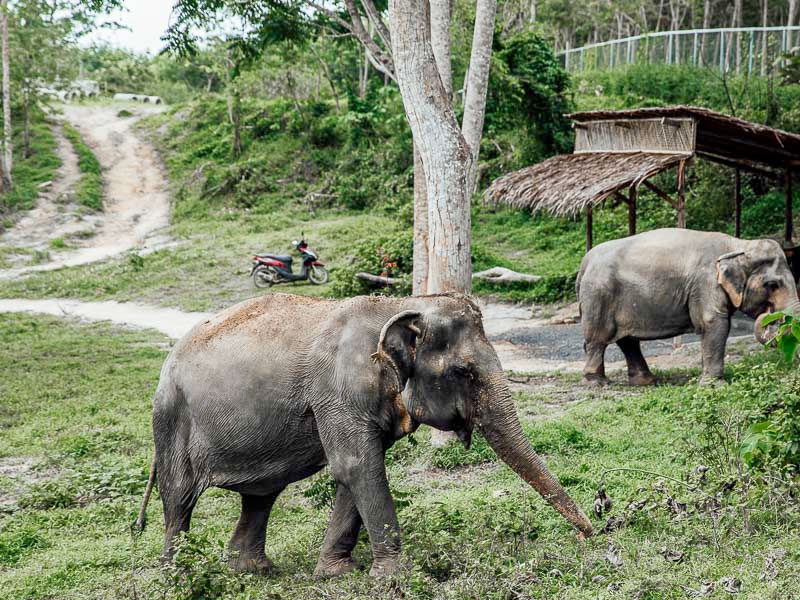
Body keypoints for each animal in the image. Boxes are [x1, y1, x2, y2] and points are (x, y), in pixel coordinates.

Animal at [134, 292, 592, 580]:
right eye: (464, 372)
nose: (593, 533)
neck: (399, 306)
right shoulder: (338, 391)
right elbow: (357, 465)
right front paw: (394, 577)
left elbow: (358, 469)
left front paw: (336, 573)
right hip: (172, 420)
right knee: (179, 500)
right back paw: (178, 576)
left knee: (261, 495)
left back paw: (252, 571)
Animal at [580, 227, 796, 386]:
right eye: (772, 285)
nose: (769, 315)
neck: (739, 245)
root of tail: (586, 260)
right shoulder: (705, 283)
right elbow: (714, 322)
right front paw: (714, 385)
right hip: (598, 296)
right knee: (599, 338)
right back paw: (598, 382)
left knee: (628, 340)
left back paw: (647, 381)